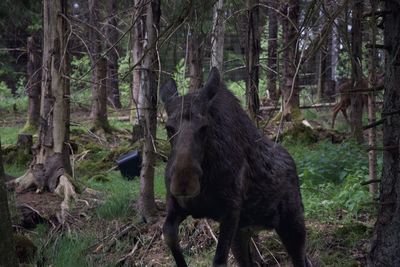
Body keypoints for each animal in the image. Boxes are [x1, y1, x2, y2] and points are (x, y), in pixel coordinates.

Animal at [161, 68, 310, 266]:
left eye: (204, 127)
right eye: (168, 127)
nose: (184, 184)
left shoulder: (231, 211)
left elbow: (219, 260)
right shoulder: (177, 206)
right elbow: (169, 235)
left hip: (292, 223)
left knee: (300, 258)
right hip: (244, 231)